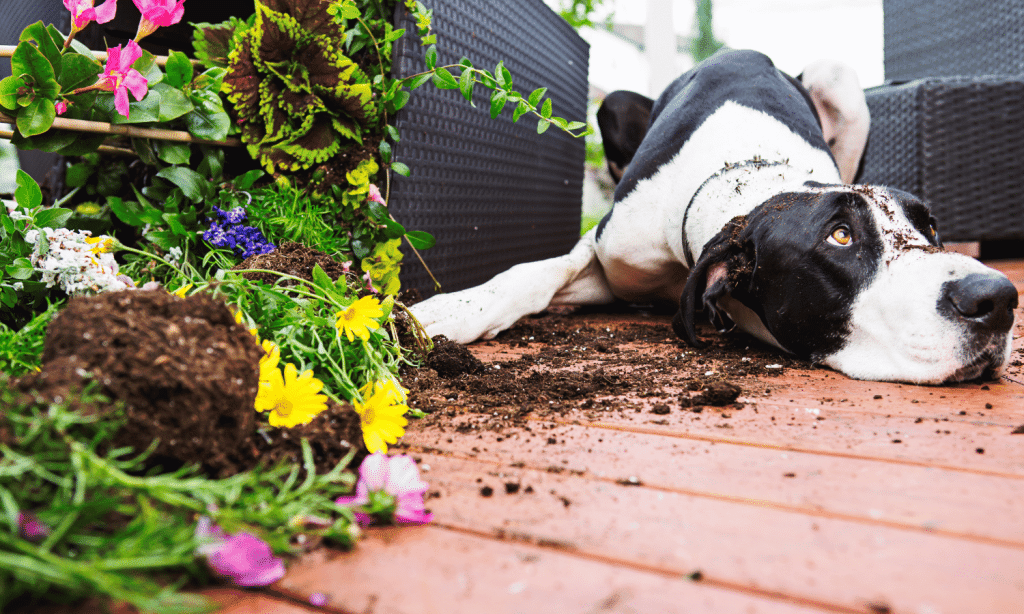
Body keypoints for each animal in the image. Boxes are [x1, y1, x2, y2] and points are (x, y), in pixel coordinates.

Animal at [411, 49, 1019, 384]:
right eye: (840, 237)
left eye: (929, 227)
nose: (998, 298)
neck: (750, 172)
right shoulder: (611, 255)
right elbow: (532, 274)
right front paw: (447, 312)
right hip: (614, 105)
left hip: (838, 78)